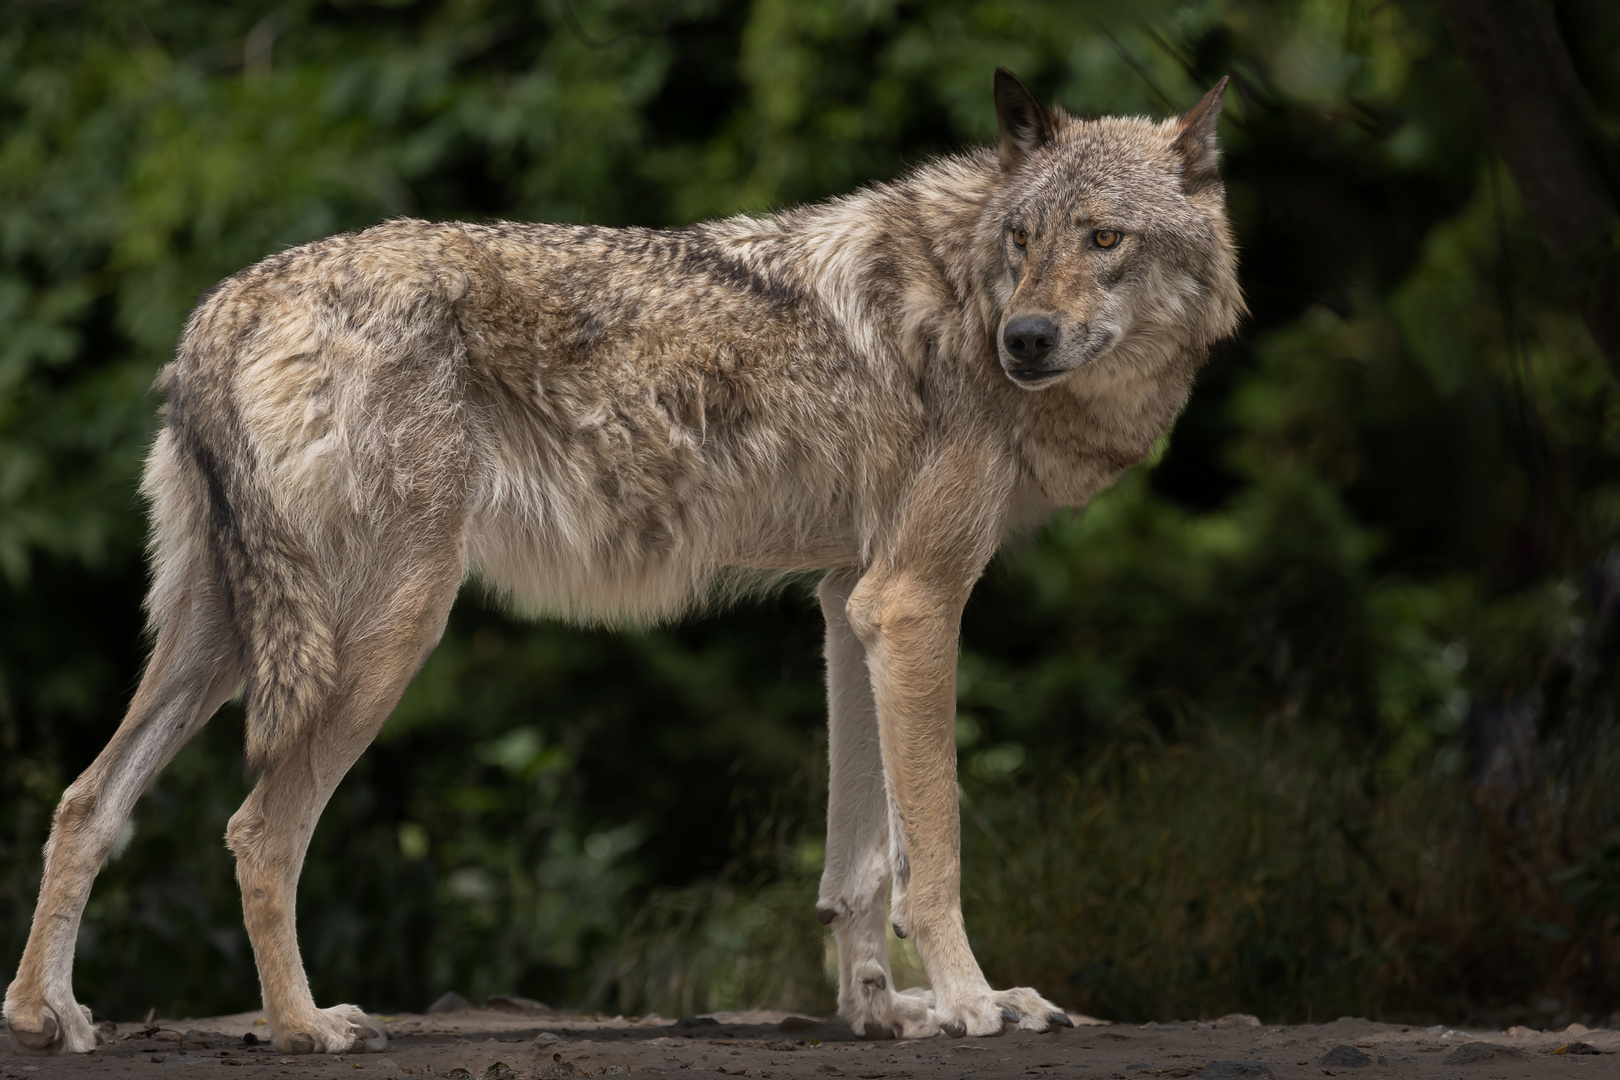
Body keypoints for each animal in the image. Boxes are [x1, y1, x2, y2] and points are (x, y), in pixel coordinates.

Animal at [3, 69, 1237, 1055]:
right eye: (1025, 242)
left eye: (1104, 239)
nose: (1023, 340)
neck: (967, 282)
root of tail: (223, 303)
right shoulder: (915, 603)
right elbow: (931, 853)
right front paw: (974, 1003)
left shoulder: (853, 603)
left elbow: (856, 867)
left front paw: (882, 1013)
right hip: (391, 632)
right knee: (260, 832)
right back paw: (307, 1026)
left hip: (223, 646)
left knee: (84, 802)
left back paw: (45, 1014)